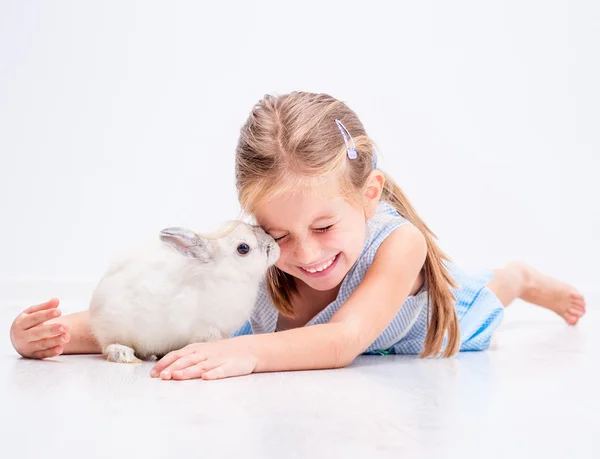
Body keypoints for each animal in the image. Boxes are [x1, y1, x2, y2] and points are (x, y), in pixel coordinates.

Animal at [88, 221, 280, 364]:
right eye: (243, 248)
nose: (274, 245)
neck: (224, 274)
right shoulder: (206, 328)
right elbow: (211, 340)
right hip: (115, 328)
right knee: (108, 346)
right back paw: (124, 355)